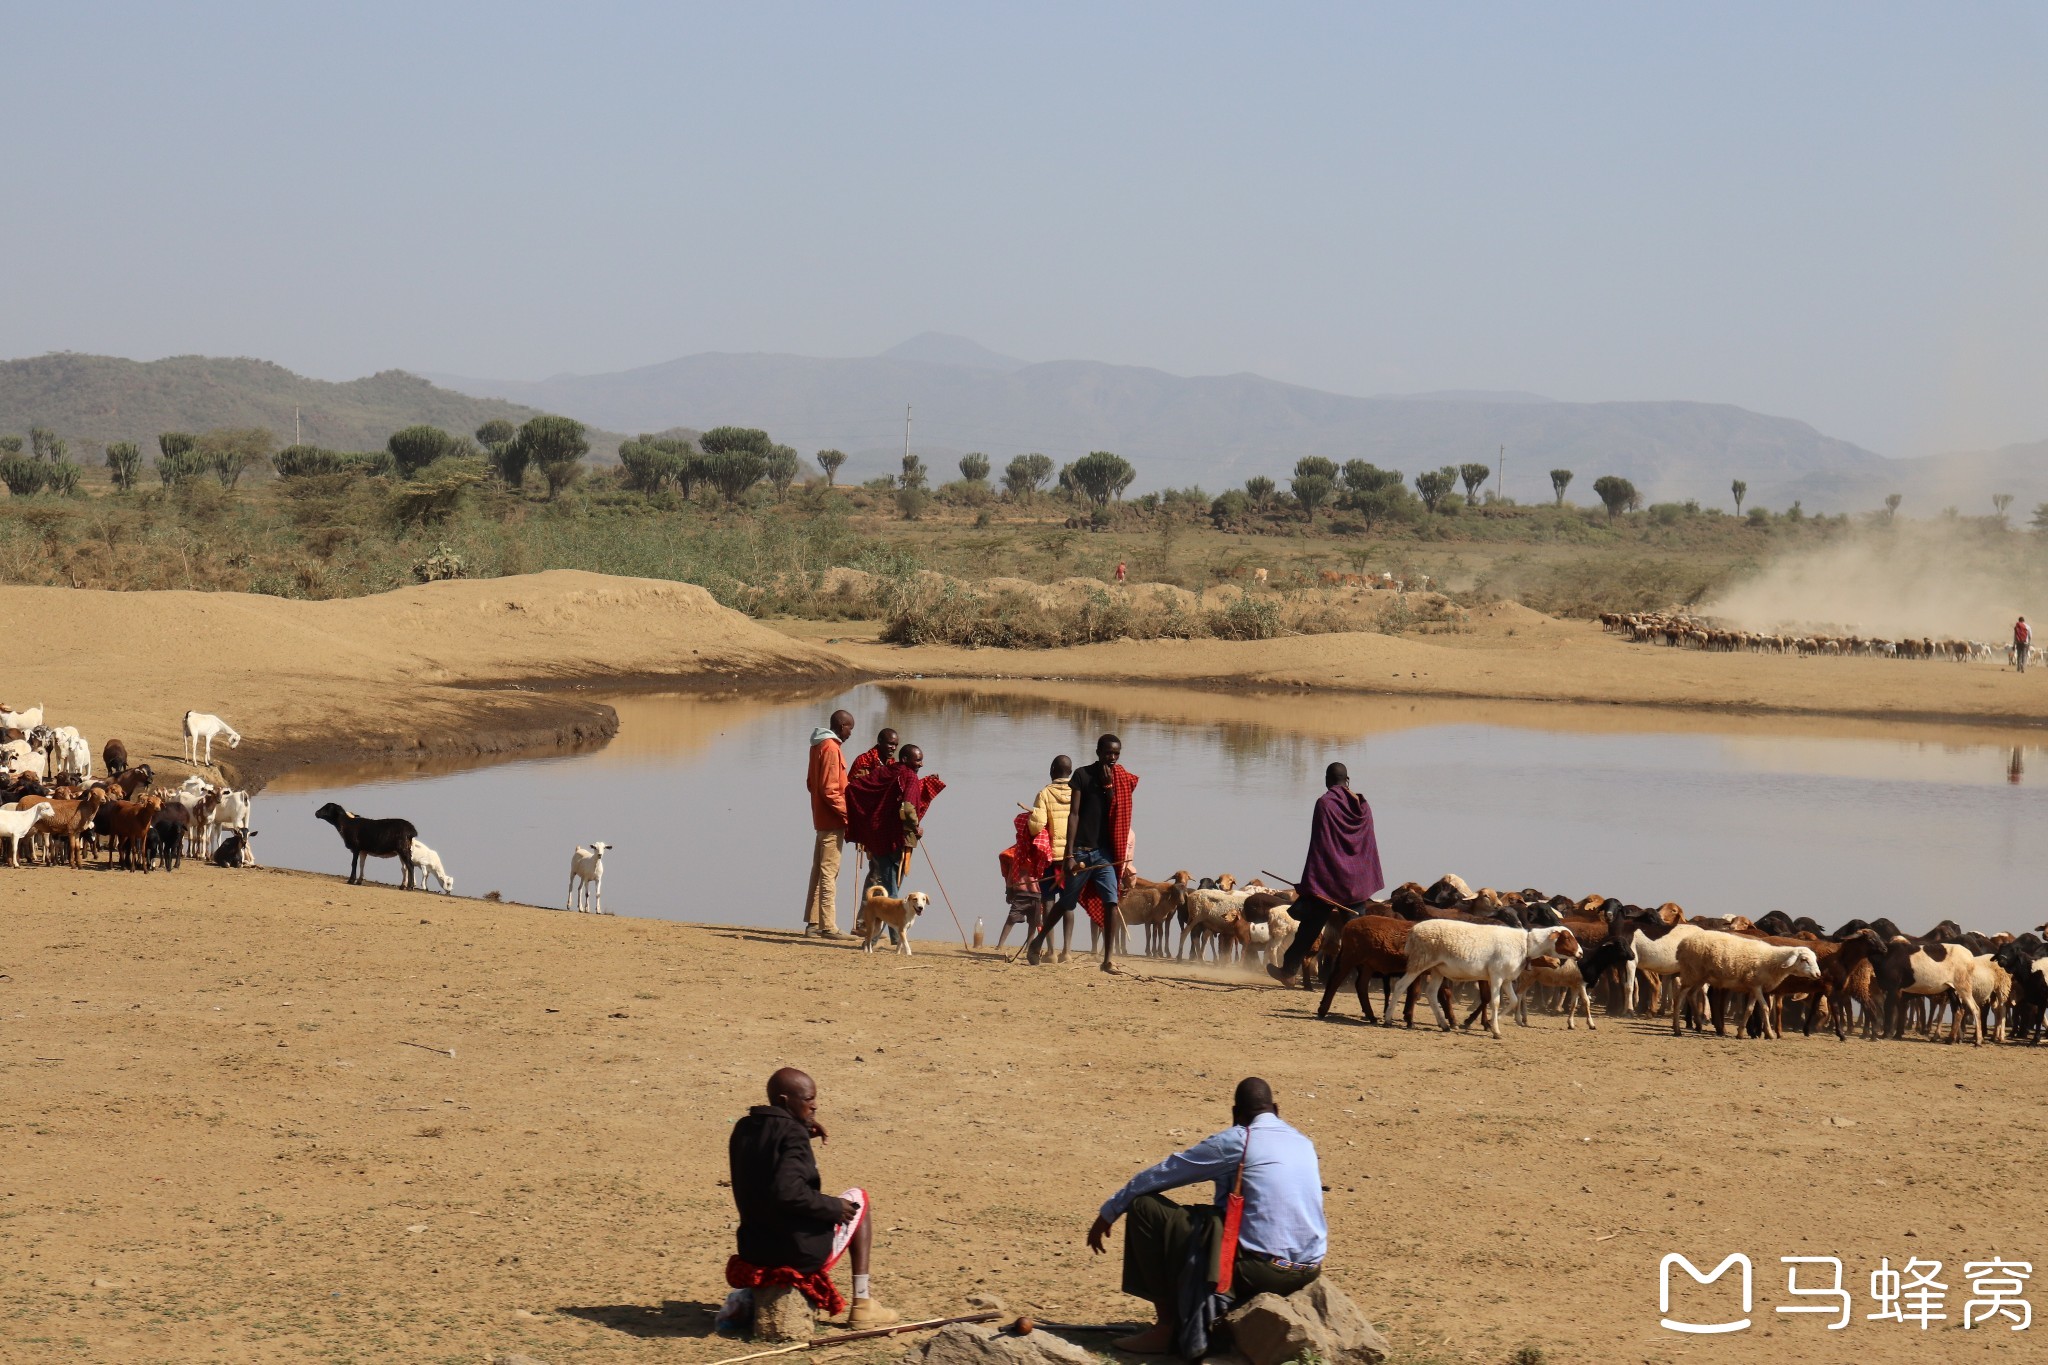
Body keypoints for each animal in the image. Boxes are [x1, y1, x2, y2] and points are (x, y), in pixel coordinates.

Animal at [1392, 925, 1581, 1039]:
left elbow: (1513, 1001)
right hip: (1419, 962)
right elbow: (1494, 1002)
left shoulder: (1506, 979)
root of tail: (1413, 931)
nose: (1580, 953)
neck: (1526, 945)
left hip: (1437, 970)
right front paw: (1495, 1030)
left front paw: (1490, 1023)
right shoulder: (1496, 976)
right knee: (1400, 986)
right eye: (1567, 938)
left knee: (1431, 994)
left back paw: (1444, 1024)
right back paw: (1388, 1019)